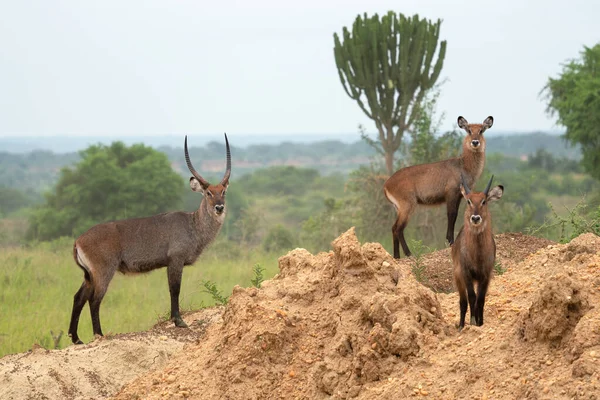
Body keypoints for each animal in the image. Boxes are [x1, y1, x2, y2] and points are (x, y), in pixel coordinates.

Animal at [68, 134, 231, 344]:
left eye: (223, 192)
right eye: (209, 192)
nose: (219, 207)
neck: (193, 224)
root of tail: (78, 240)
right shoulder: (175, 260)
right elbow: (174, 288)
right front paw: (179, 321)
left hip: (89, 275)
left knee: (79, 297)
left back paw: (76, 338)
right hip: (103, 271)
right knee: (94, 299)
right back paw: (99, 334)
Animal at [382, 115, 494, 258]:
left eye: (481, 130)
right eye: (469, 130)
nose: (475, 142)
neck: (463, 165)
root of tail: (386, 184)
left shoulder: (459, 196)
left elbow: (455, 216)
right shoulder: (451, 194)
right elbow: (451, 215)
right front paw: (450, 242)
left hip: (400, 208)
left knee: (395, 228)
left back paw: (398, 256)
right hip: (407, 205)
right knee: (397, 228)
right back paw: (407, 254)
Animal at [454, 174, 502, 328]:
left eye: (484, 201)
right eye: (468, 201)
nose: (475, 218)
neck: (477, 255)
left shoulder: (486, 275)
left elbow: (481, 299)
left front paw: (480, 323)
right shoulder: (466, 273)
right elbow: (472, 297)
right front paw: (473, 321)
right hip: (458, 277)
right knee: (463, 302)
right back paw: (462, 325)